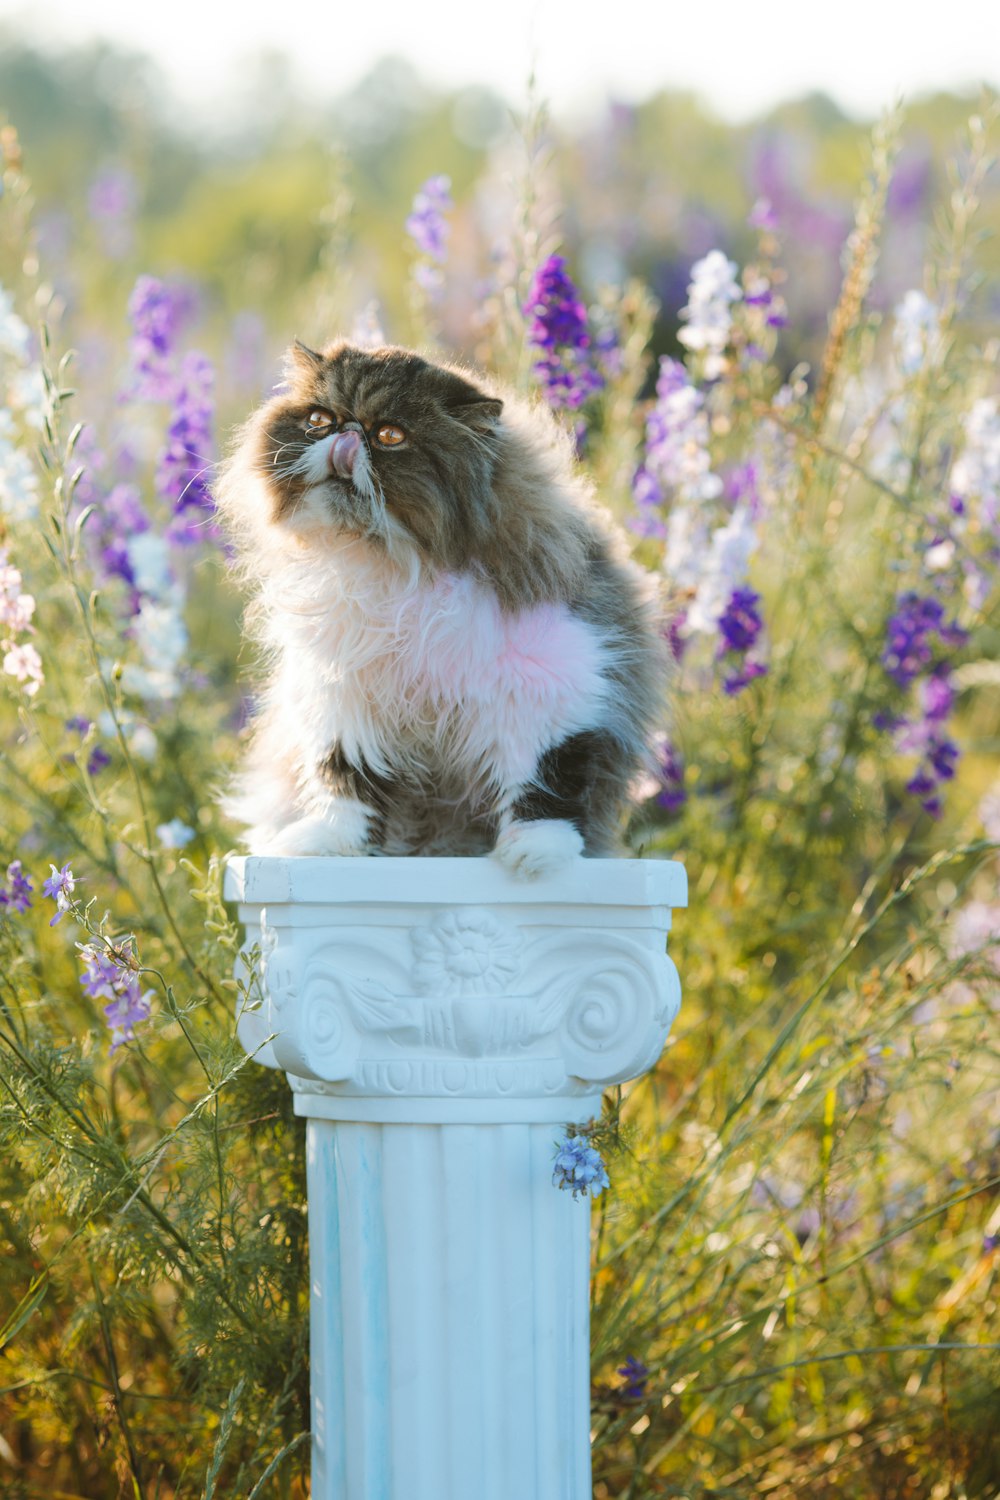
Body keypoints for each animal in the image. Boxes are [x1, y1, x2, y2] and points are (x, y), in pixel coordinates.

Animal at [218, 340, 671, 876]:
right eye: (319, 420)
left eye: (390, 436)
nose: (346, 436)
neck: (390, 563)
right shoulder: (343, 698)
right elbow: (346, 784)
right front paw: (328, 845)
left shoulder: (552, 688)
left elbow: (544, 785)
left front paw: (534, 855)